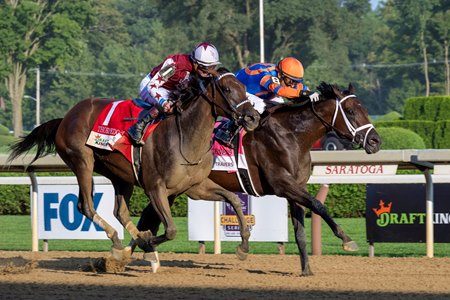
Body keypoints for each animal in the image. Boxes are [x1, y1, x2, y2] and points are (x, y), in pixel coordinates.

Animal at [7, 67, 260, 262]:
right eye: (227, 89)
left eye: (243, 87)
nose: (253, 117)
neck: (184, 136)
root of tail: (65, 117)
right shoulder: (155, 188)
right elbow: (170, 230)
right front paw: (147, 242)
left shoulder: (194, 187)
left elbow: (233, 199)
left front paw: (243, 246)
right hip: (82, 161)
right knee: (86, 206)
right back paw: (119, 240)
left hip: (119, 175)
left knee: (119, 211)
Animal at [133, 81, 380, 276]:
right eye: (350, 111)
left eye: (364, 109)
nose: (376, 141)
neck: (292, 135)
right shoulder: (283, 184)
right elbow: (319, 205)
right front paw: (347, 240)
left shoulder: (294, 189)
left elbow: (300, 231)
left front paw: (306, 270)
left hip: (174, 188)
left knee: (148, 219)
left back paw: (140, 251)